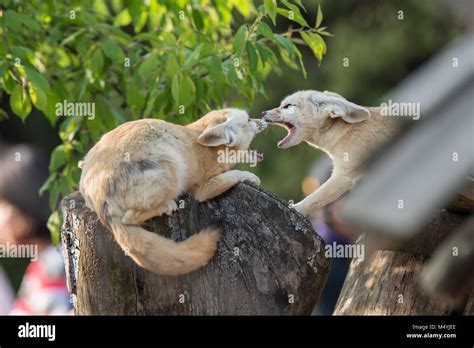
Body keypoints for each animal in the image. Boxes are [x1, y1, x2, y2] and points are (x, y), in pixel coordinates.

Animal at [80, 107, 266, 276]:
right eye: (249, 120)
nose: (263, 119)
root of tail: (102, 201)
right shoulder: (202, 189)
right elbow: (236, 174)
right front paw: (252, 177)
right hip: (172, 168)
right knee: (129, 218)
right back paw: (166, 206)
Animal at [262, 89, 402, 220]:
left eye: (288, 105)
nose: (262, 113)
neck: (344, 132)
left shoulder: (343, 176)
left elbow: (311, 199)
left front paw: (294, 208)